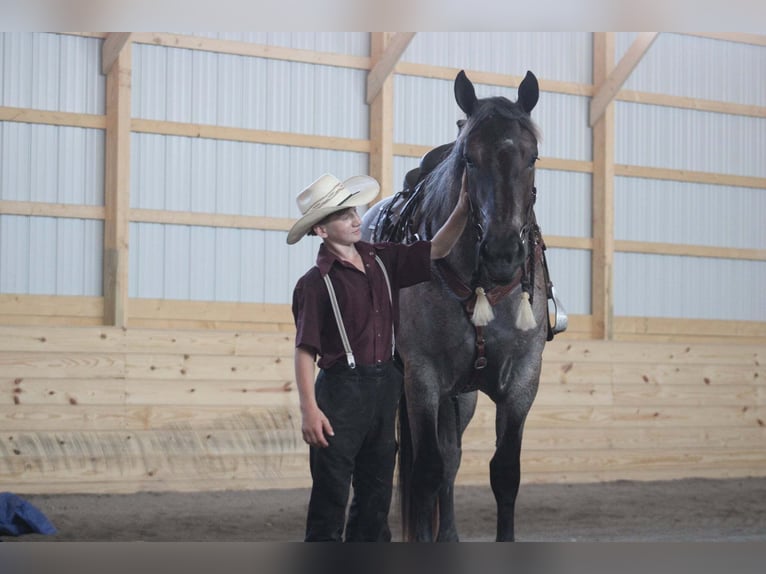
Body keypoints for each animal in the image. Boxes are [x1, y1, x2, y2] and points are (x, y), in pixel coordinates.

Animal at [360, 70, 564, 544]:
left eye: (532, 156)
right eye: (470, 158)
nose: (503, 252)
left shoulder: (523, 379)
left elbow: (504, 473)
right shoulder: (423, 377)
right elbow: (425, 472)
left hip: (462, 395)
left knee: (452, 457)